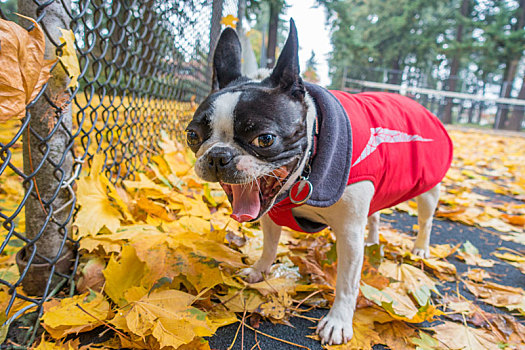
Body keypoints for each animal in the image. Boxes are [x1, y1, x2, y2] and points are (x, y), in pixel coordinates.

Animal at [186, 19, 452, 344]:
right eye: (193, 135)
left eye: (265, 139)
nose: (217, 156)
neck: (305, 173)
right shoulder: (270, 217)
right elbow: (269, 247)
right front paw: (259, 271)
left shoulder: (349, 234)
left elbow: (347, 282)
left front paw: (338, 321)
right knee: (374, 216)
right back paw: (373, 241)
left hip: (428, 189)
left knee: (425, 220)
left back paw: (421, 249)